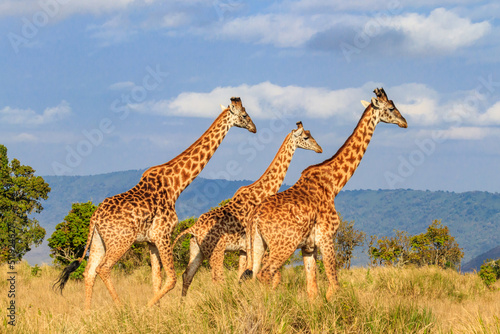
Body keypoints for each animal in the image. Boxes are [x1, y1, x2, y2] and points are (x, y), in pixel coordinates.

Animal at [54, 96, 256, 308]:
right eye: (244, 115)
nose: (254, 128)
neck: (176, 186)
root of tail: (94, 218)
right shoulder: (163, 234)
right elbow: (171, 278)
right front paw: (147, 308)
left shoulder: (151, 240)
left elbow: (156, 279)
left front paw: (155, 309)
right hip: (121, 241)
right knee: (104, 268)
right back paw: (121, 308)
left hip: (98, 240)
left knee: (89, 271)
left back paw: (88, 311)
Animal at [172, 121, 320, 296]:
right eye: (306, 137)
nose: (319, 149)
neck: (263, 191)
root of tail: (193, 228)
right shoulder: (258, 245)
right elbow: (267, 276)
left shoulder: (243, 249)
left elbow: (241, 277)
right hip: (216, 252)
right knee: (217, 278)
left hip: (197, 249)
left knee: (187, 275)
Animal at [244, 88, 408, 300]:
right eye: (391, 108)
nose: (404, 122)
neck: (334, 184)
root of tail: (254, 218)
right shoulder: (327, 236)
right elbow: (333, 285)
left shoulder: (308, 246)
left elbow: (312, 289)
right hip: (283, 245)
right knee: (266, 274)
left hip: (257, 244)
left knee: (252, 276)